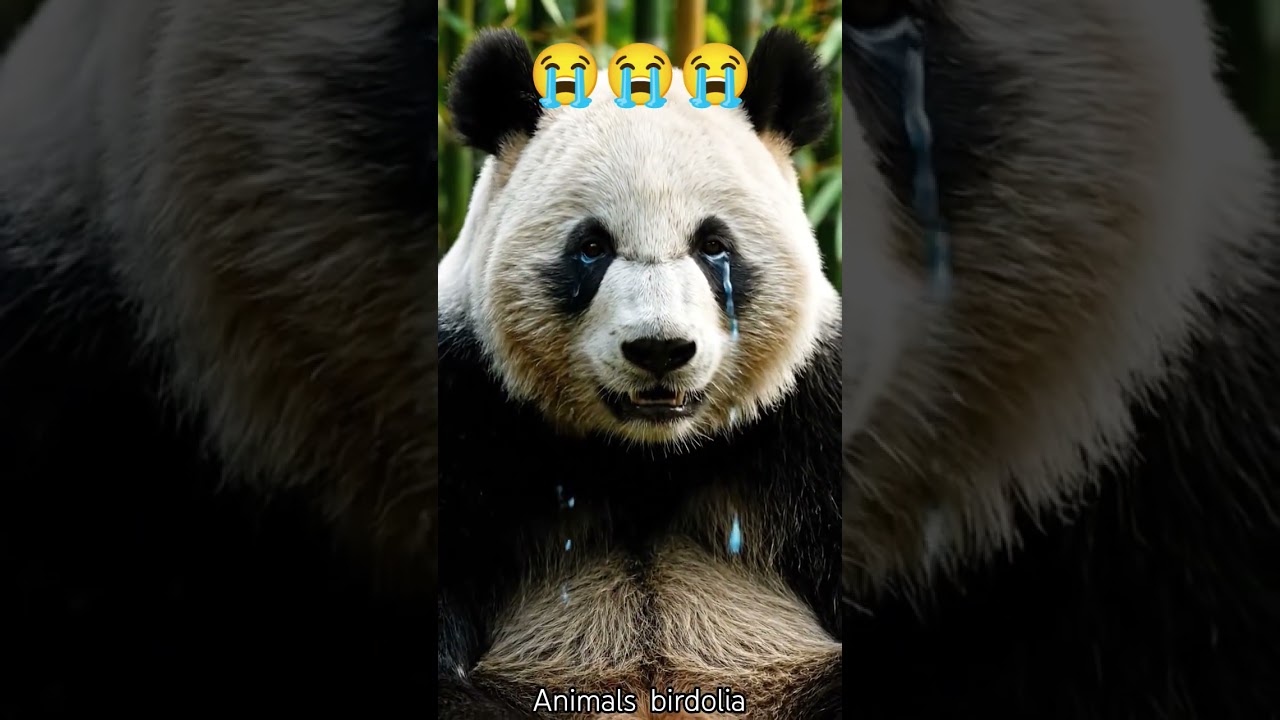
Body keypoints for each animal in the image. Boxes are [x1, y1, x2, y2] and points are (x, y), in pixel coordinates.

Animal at [438, 28, 842, 720]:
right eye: (592, 247)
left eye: (713, 245)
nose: (659, 350)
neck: (646, 457)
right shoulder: (465, 405)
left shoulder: (816, 420)